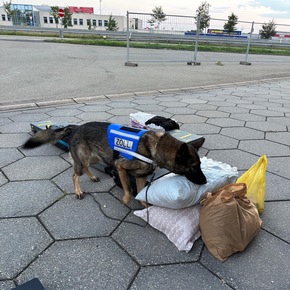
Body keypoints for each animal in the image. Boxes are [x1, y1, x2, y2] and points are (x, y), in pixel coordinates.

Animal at [23, 121, 207, 205]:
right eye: (193, 167)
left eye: (199, 165)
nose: (205, 181)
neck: (153, 149)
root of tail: (74, 127)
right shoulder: (120, 167)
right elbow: (128, 192)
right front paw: (125, 200)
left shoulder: (140, 177)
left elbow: (140, 192)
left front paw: (144, 206)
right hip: (82, 159)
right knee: (75, 174)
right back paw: (78, 191)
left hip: (95, 156)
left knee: (87, 167)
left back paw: (92, 177)